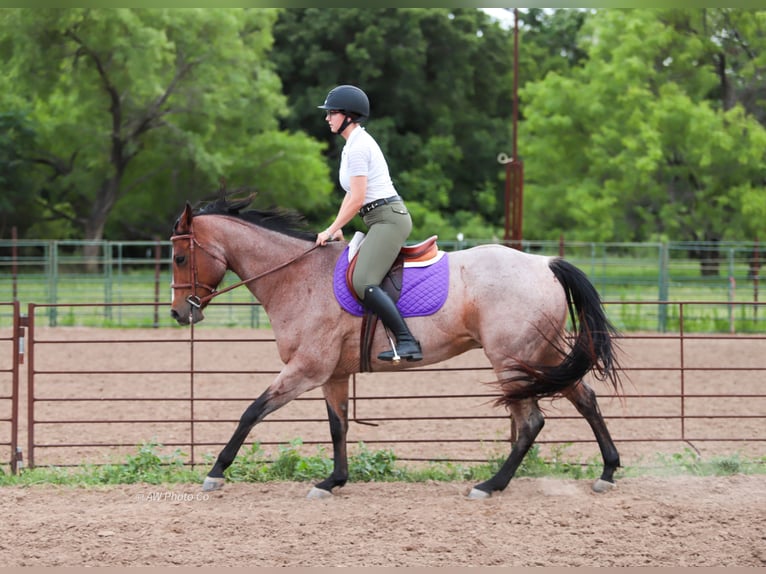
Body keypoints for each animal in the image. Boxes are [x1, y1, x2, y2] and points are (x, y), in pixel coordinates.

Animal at [170, 196, 623, 499]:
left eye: (178, 258)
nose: (178, 313)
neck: (298, 277)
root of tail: (545, 263)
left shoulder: (306, 369)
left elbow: (252, 412)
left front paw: (215, 472)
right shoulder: (333, 374)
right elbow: (338, 426)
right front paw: (333, 481)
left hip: (512, 360)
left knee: (530, 423)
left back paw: (491, 484)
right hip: (540, 358)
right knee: (585, 398)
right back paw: (607, 472)